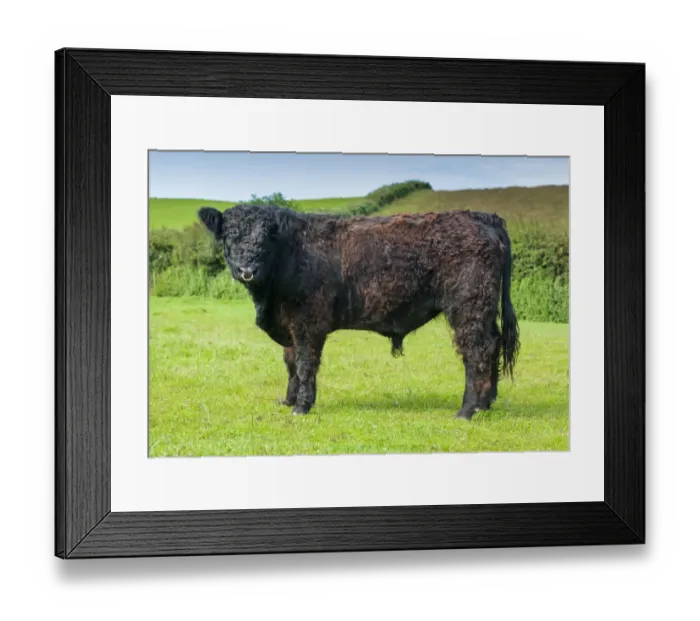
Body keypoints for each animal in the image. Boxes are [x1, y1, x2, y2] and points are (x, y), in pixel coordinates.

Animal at [199, 204, 519, 420]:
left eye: (265, 239)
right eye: (229, 237)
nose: (247, 270)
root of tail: (480, 216)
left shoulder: (307, 323)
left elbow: (304, 365)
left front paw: (302, 407)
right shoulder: (290, 325)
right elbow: (290, 364)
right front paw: (288, 401)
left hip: (468, 308)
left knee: (476, 352)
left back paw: (467, 410)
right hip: (484, 311)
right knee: (493, 346)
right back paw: (486, 403)